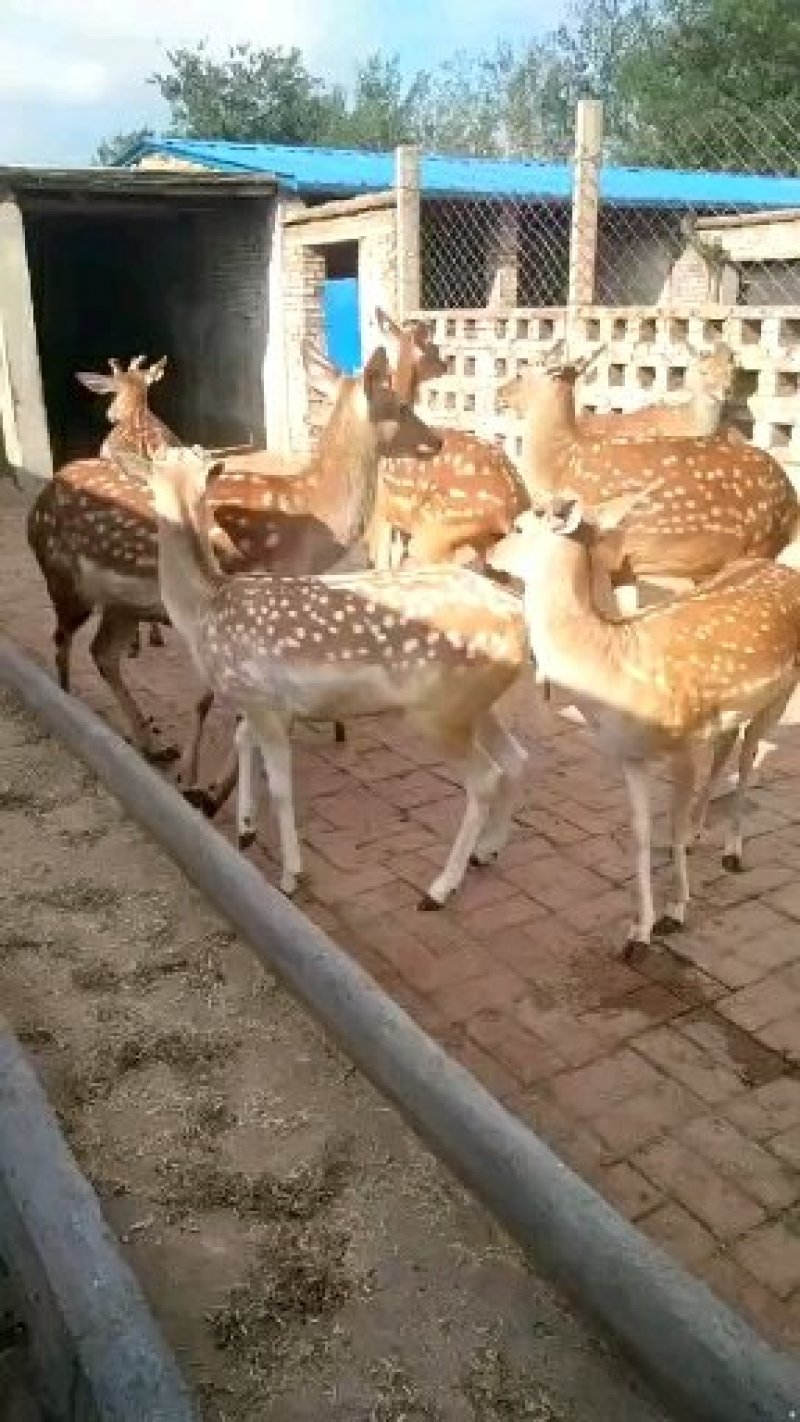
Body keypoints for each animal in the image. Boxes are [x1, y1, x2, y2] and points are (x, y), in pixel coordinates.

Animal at [28, 345, 441, 781]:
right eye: (401, 405)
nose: (438, 440)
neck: (313, 522)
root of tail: (39, 503)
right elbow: (216, 702)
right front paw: (199, 781)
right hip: (61, 576)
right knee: (62, 642)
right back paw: (70, 707)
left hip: (122, 602)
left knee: (103, 654)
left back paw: (152, 744)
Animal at [146, 444, 528, 906]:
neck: (203, 608)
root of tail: (520, 617)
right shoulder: (263, 701)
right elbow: (241, 741)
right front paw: (245, 829)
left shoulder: (259, 700)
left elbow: (281, 786)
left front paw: (290, 874)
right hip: (477, 705)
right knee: (516, 758)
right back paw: (486, 852)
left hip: (439, 712)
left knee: (486, 778)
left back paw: (439, 889)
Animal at [364, 308, 529, 571]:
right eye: (433, 348)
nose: (445, 363)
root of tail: (514, 508)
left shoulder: (382, 511)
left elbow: (383, 564)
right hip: (485, 541)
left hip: (438, 528)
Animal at [489, 492, 800, 954]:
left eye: (521, 526)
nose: (490, 556)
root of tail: (785, 569)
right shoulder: (629, 756)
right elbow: (640, 833)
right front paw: (639, 931)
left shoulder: (684, 744)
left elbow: (669, 827)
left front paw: (676, 911)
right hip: (730, 712)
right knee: (727, 748)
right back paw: (700, 832)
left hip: (780, 694)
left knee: (748, 759)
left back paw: (732, 851)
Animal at [498, 342, 799, 615]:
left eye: (521, 372)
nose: (499, 393)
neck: (562, 462)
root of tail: (791, 498)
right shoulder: (623, 564)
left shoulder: (602, 548)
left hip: (757, 545)